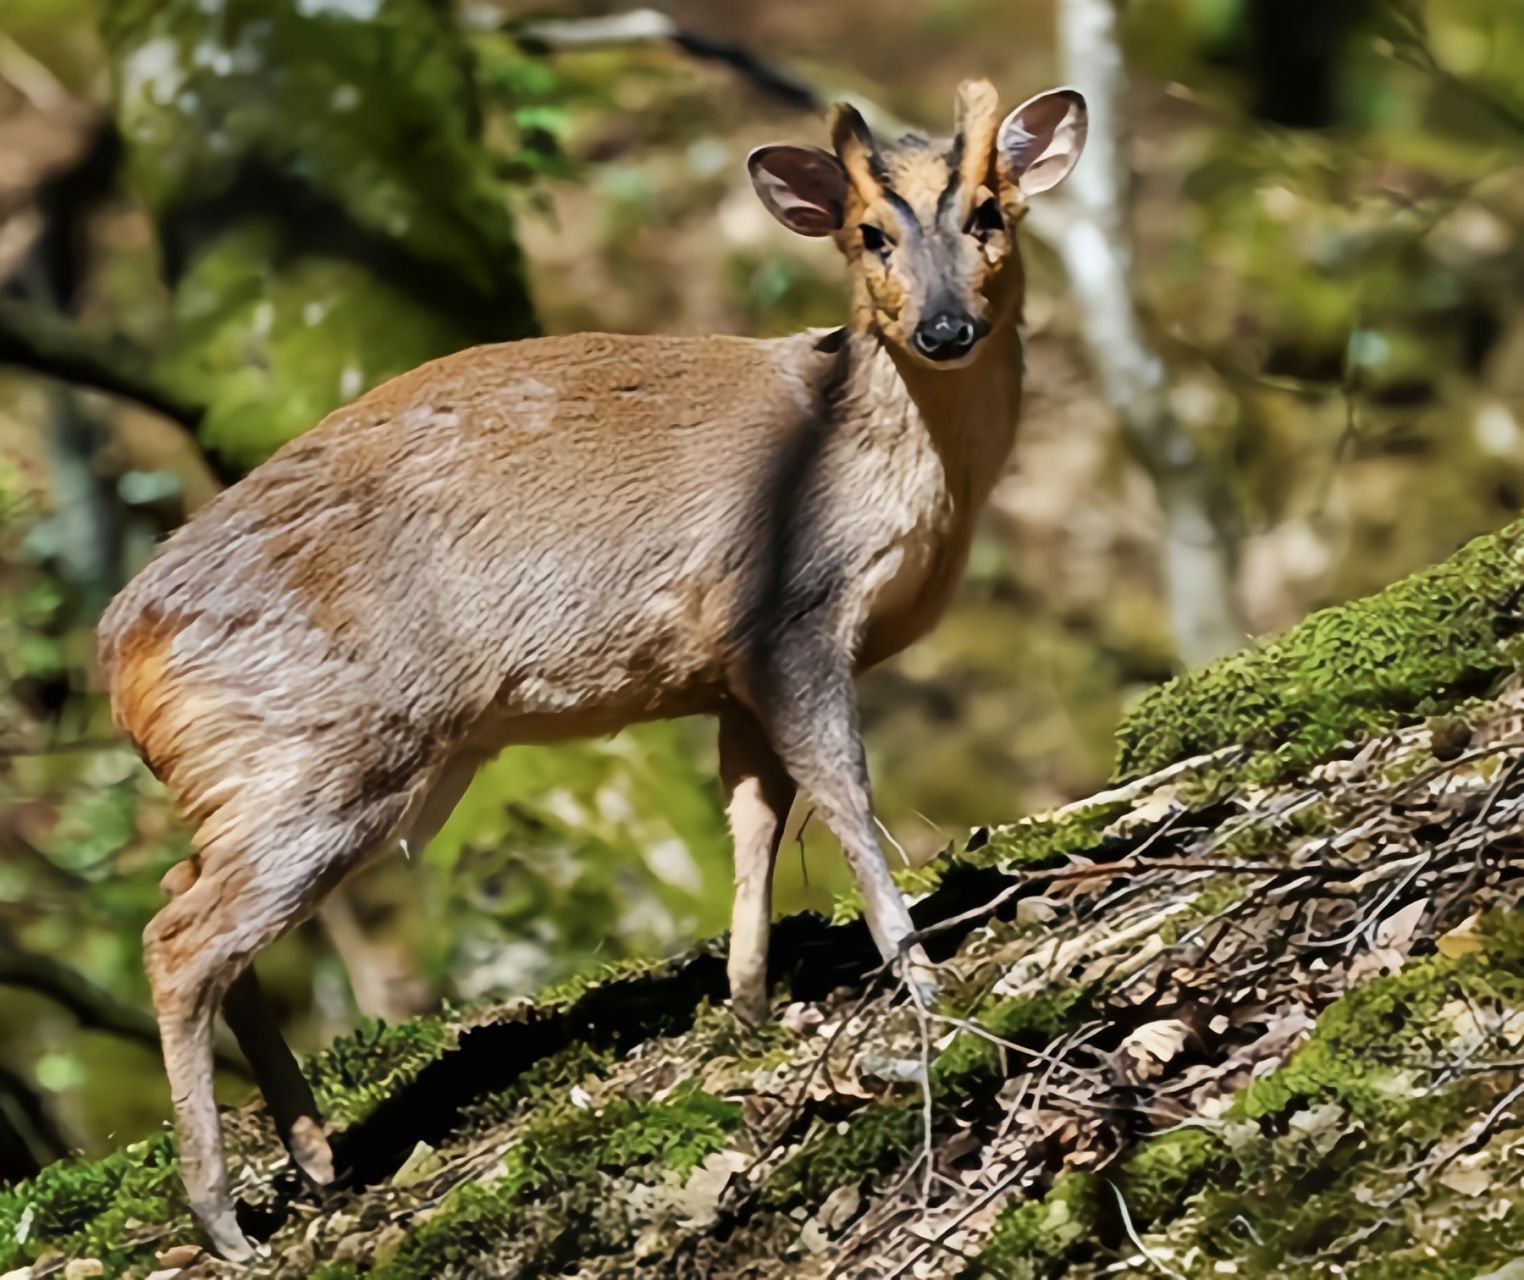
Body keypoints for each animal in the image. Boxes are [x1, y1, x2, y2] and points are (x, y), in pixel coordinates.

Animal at [98, 82, 1085, 1261]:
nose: (944, 330)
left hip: (290, 770)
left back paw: (318, 1158)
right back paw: (223, 1218)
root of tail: (120, 655)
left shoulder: (728, 667)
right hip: (323, 752)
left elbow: (754, 818)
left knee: (186, 896)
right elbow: (843, 793)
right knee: (178, 935)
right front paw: (921, 976)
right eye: (869, 234)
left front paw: (750, 1003)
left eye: (990, 211)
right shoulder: (785, 615)